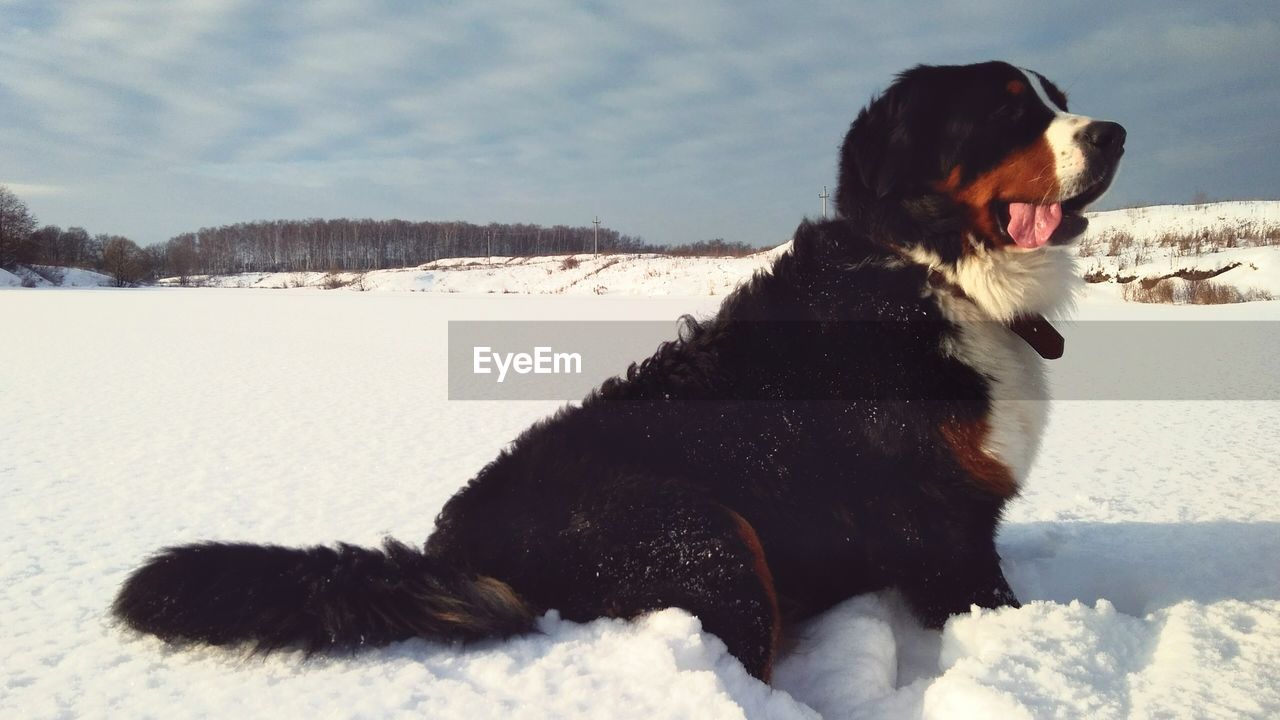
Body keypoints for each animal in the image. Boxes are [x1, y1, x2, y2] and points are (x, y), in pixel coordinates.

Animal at [115, 61, 1126, 676]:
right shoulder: (939, 522)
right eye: (1007, 109)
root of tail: (460, 548)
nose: (1114, 132)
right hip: (708, 538)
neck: (931, 272)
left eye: (1056, 96)